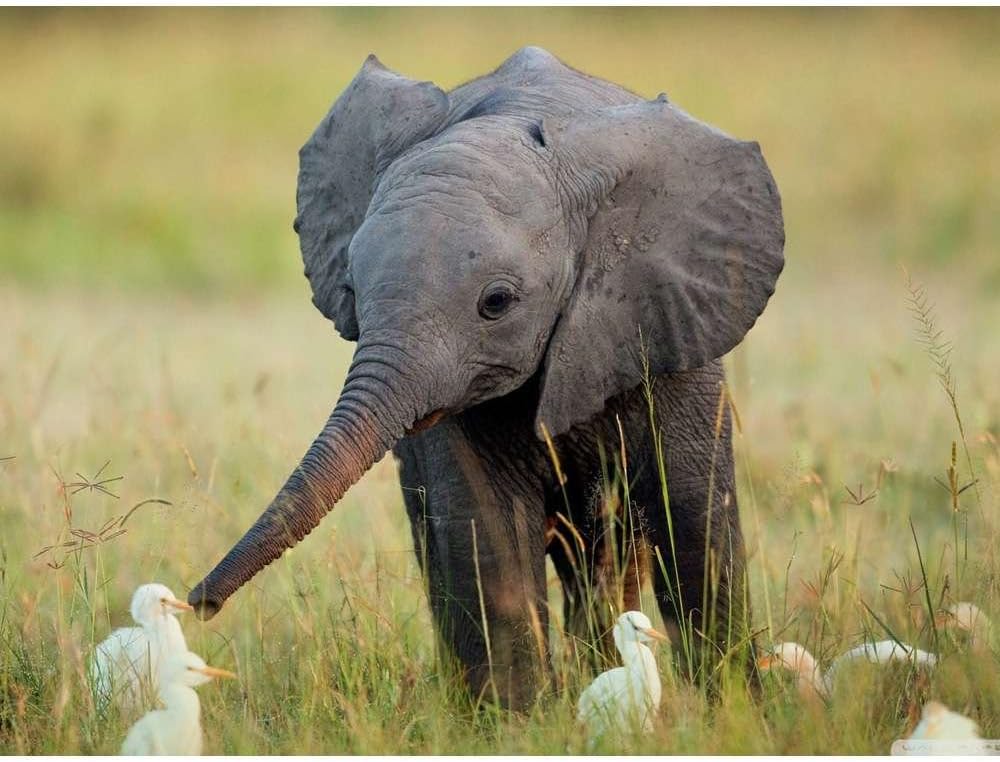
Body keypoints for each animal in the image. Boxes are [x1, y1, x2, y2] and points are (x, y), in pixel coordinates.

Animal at [188, 46, 784, 709]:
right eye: (351, 290)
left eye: (496, 302)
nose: (199, 604)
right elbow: (485, 531)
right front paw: (519, 721)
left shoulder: (669, 322)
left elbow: (695, 519)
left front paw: (735, 711)